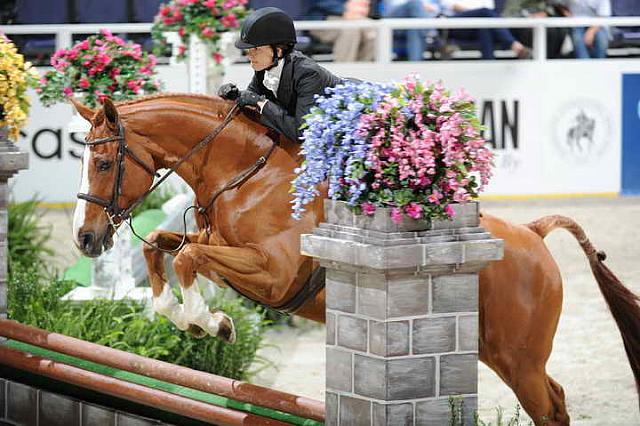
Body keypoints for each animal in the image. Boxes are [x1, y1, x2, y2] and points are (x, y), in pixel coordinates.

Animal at [71, 95, 640, 424]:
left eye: (103, 162)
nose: (85, 239)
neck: (244, 172)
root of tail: (533, 233)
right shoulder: (221, 247)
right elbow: (160, 244)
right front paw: (186, 317)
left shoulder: (273, 275)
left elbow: (188, 257)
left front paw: (211, 323)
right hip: (499, 353)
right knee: (554, 397)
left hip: (517, 358)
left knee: (551, 406)